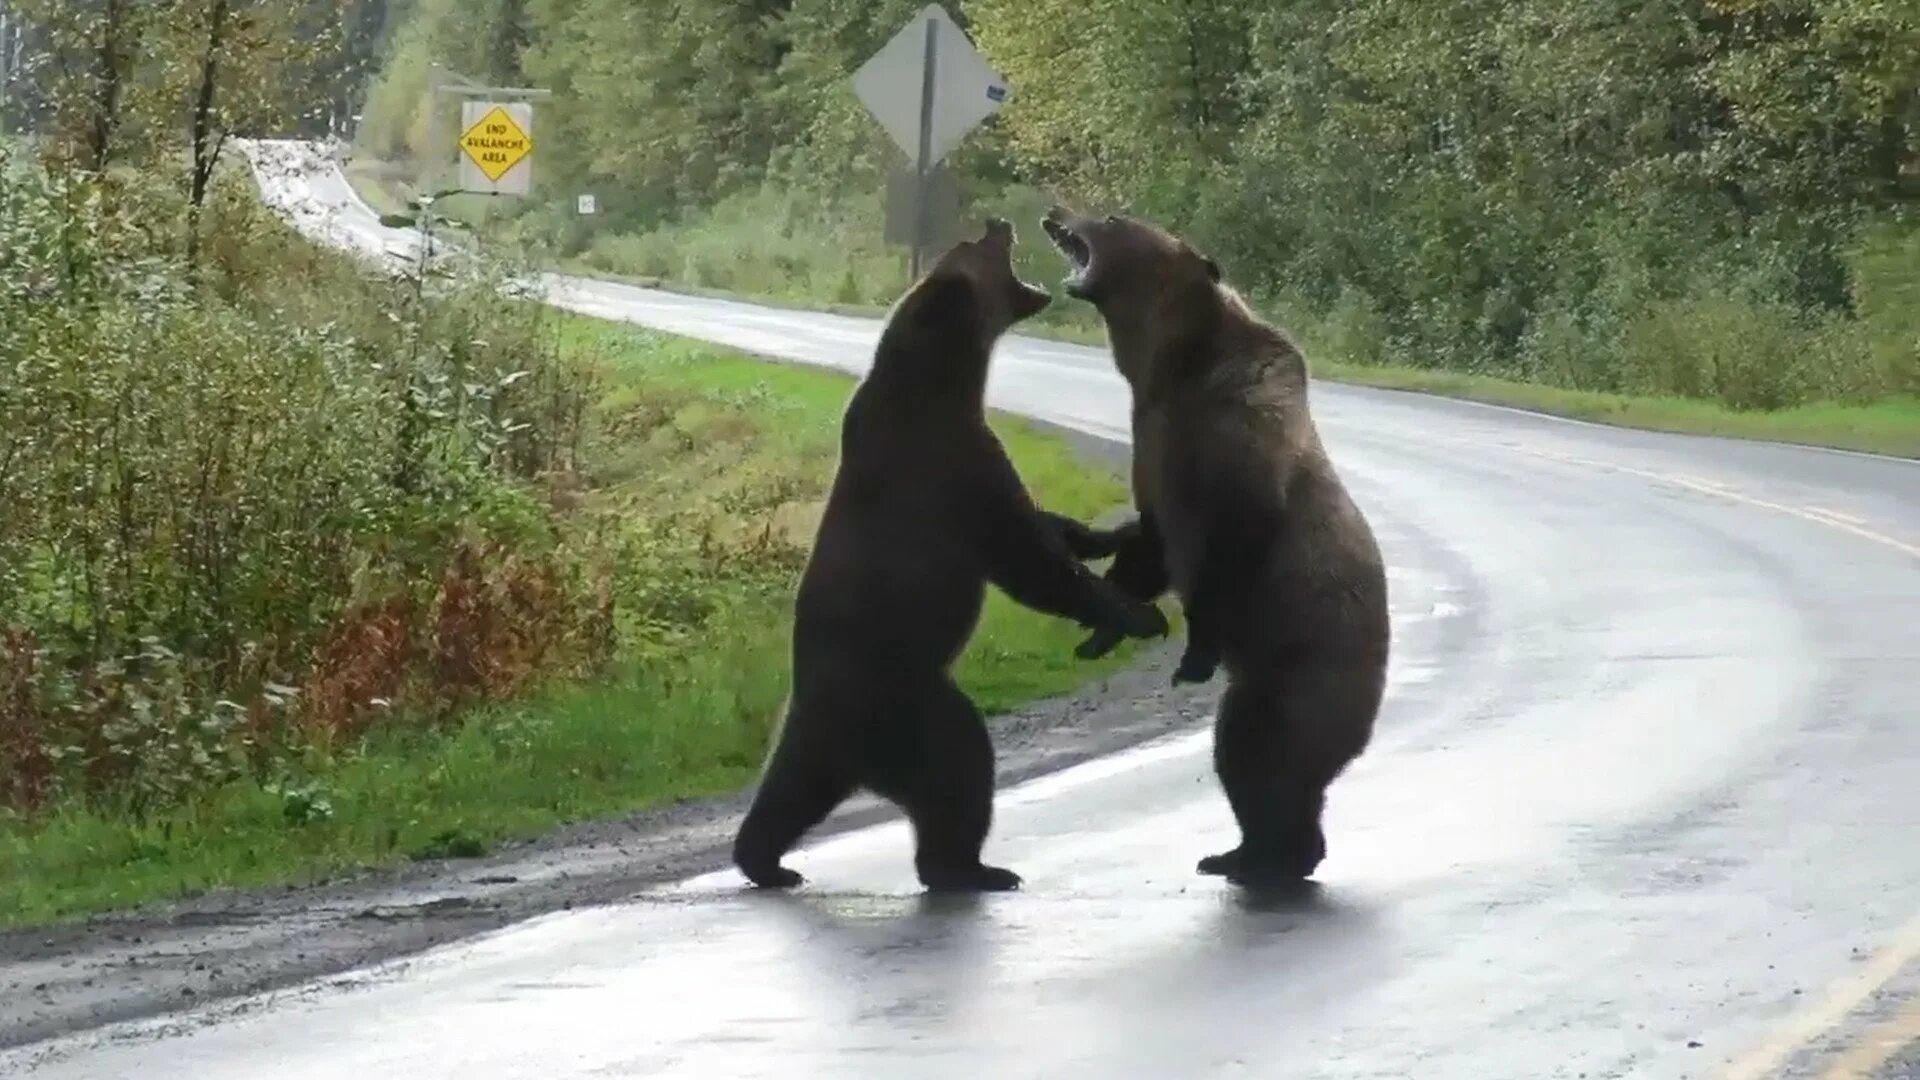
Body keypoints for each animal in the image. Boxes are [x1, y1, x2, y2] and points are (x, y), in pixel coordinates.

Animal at [733, 214, 1167, 887]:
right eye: (972, 246)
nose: (999, 220)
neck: (942, 382)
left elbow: (1041, 525)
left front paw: (1106, 534)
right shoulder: (951, 464)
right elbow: (1023, 556)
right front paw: (1134, 612)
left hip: (827, 733)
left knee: (789, 792)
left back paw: (766, 860)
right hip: (913, 701)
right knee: (960, 768)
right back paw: (970, 867)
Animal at [1044, 203, 1390, 883]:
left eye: (1112, 216)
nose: (1055, 210)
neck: (1165, 364)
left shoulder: (1232, 435)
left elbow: (1228, 538)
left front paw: (1192, 652)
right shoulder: (1154, 441)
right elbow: (1150, 541)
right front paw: (1103, 621)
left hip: (1305, 661)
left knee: (1263, 749)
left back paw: (1264, 857)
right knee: (1246, 755)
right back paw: (1245, 853)